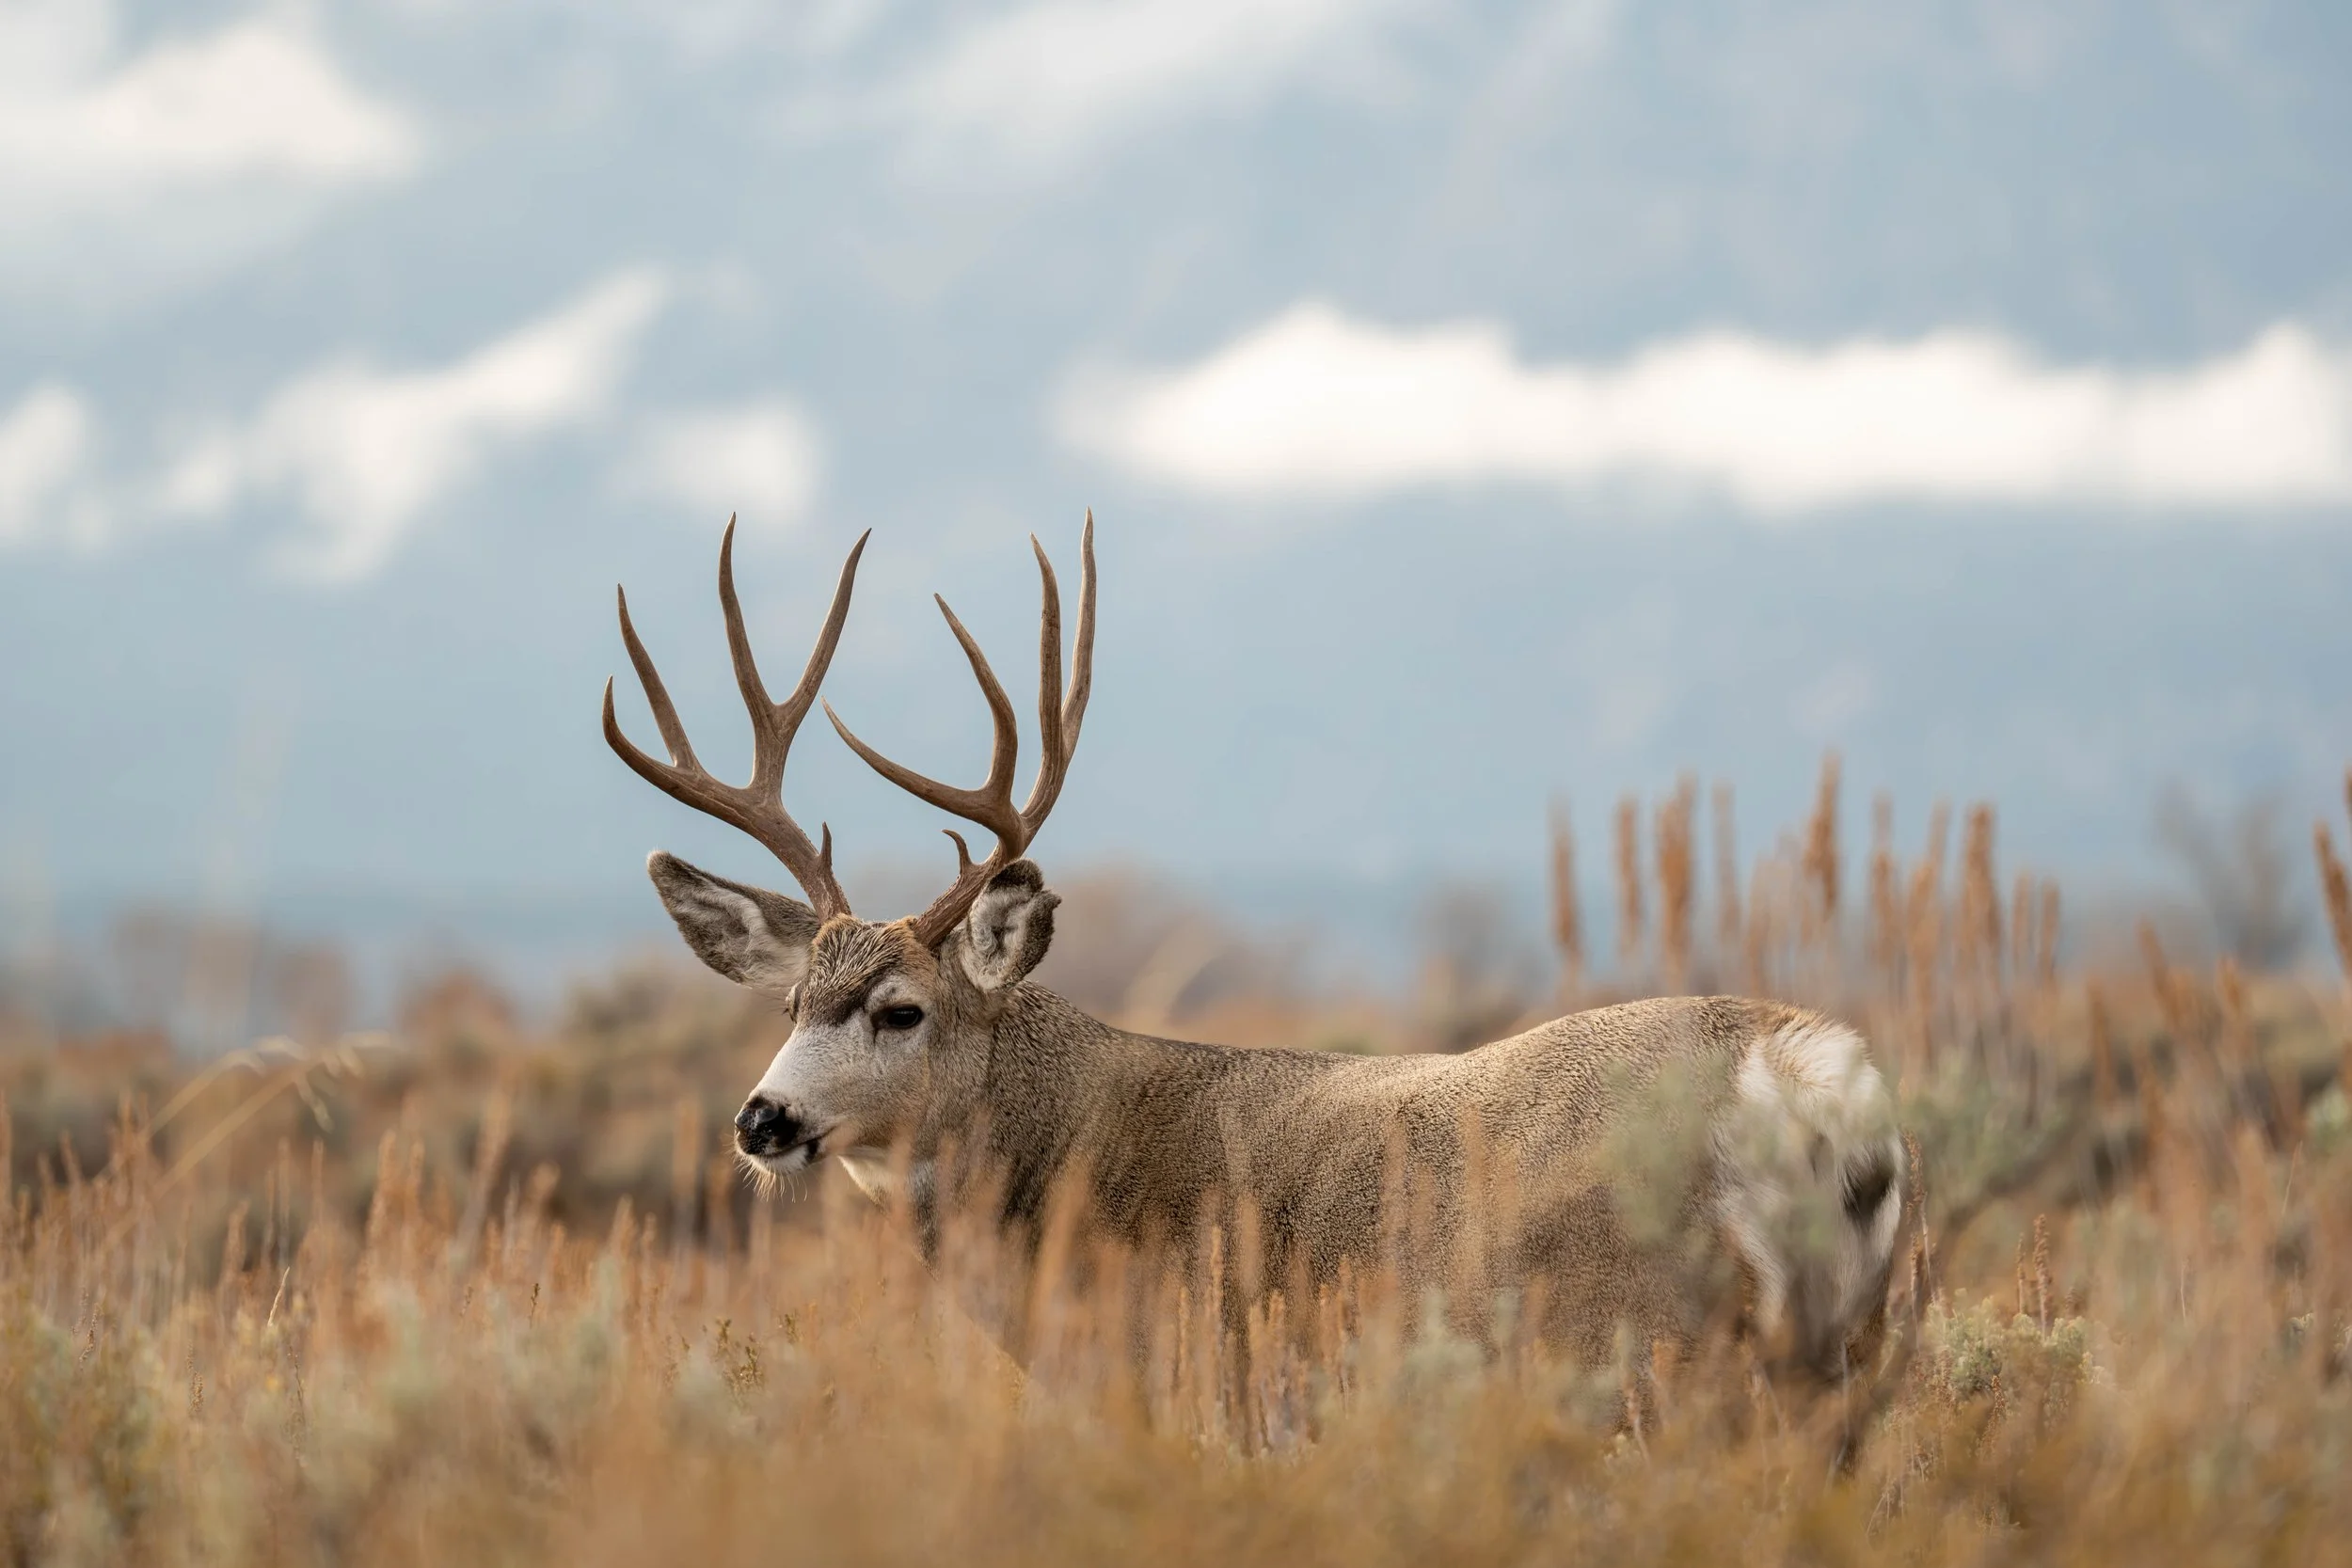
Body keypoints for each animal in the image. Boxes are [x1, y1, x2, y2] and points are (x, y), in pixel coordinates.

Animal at [602, 515, 1905, 1396]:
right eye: (789, 1003)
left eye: (900, 1008)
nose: (761, 1119)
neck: (1064, 1162)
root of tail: (1802, 1071)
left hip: (1647, 1338)